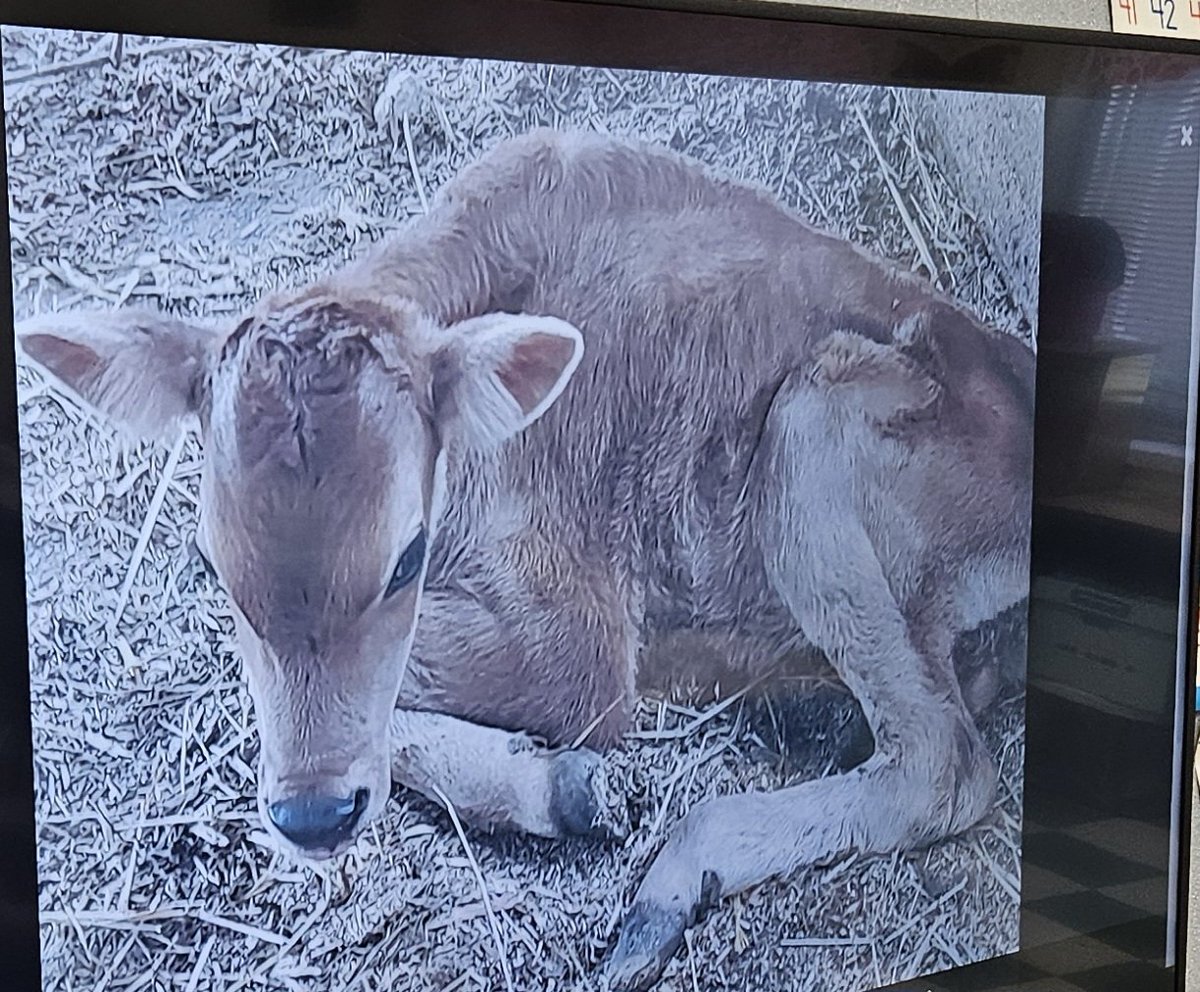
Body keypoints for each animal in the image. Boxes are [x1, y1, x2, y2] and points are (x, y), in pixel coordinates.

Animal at [15, 128, 1034, 990]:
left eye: (405, 559)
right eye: (214, 566)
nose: (310, 816)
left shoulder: (579, 638)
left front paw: (571, 784)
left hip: (809, 424)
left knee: (944, 759)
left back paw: (674, 880)